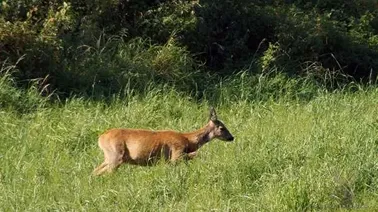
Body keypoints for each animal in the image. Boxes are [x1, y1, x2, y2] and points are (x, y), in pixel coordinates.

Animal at [92, 107, 233, 176]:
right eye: (222, 127)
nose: (232, 137)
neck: (188, 140)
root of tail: (100, 138)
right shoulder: (176, 153)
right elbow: (197, 154)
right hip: (116, 155)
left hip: (109, 156)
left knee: (94, 171)